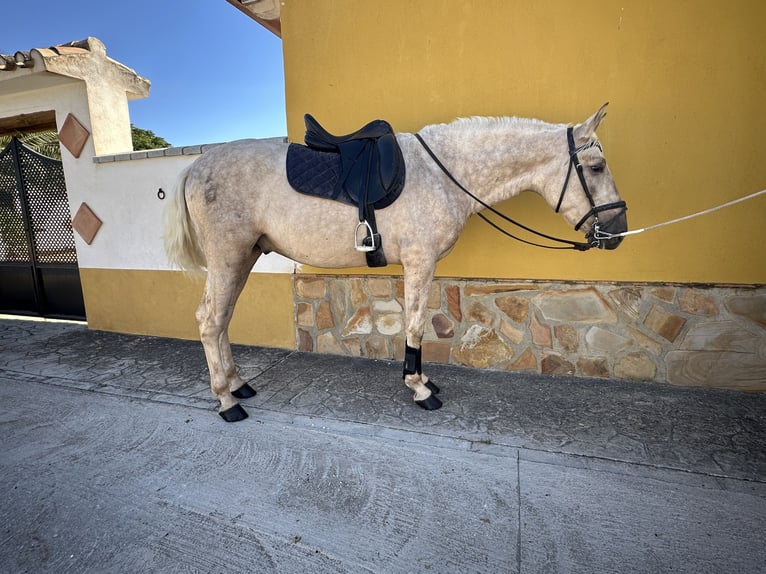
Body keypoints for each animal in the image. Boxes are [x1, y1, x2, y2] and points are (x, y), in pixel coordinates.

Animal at [165, 103, 628, 420]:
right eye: (596, 166)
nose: (618, 230)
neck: (444, 174)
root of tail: (196, 166)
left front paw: (422, 380)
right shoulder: (420, 262)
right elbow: (416, 323)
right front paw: (419, 388)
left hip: (243, 257)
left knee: (222, 319)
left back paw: (238, 384)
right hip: (229, 256)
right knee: (209, 319)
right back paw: (226, 400)